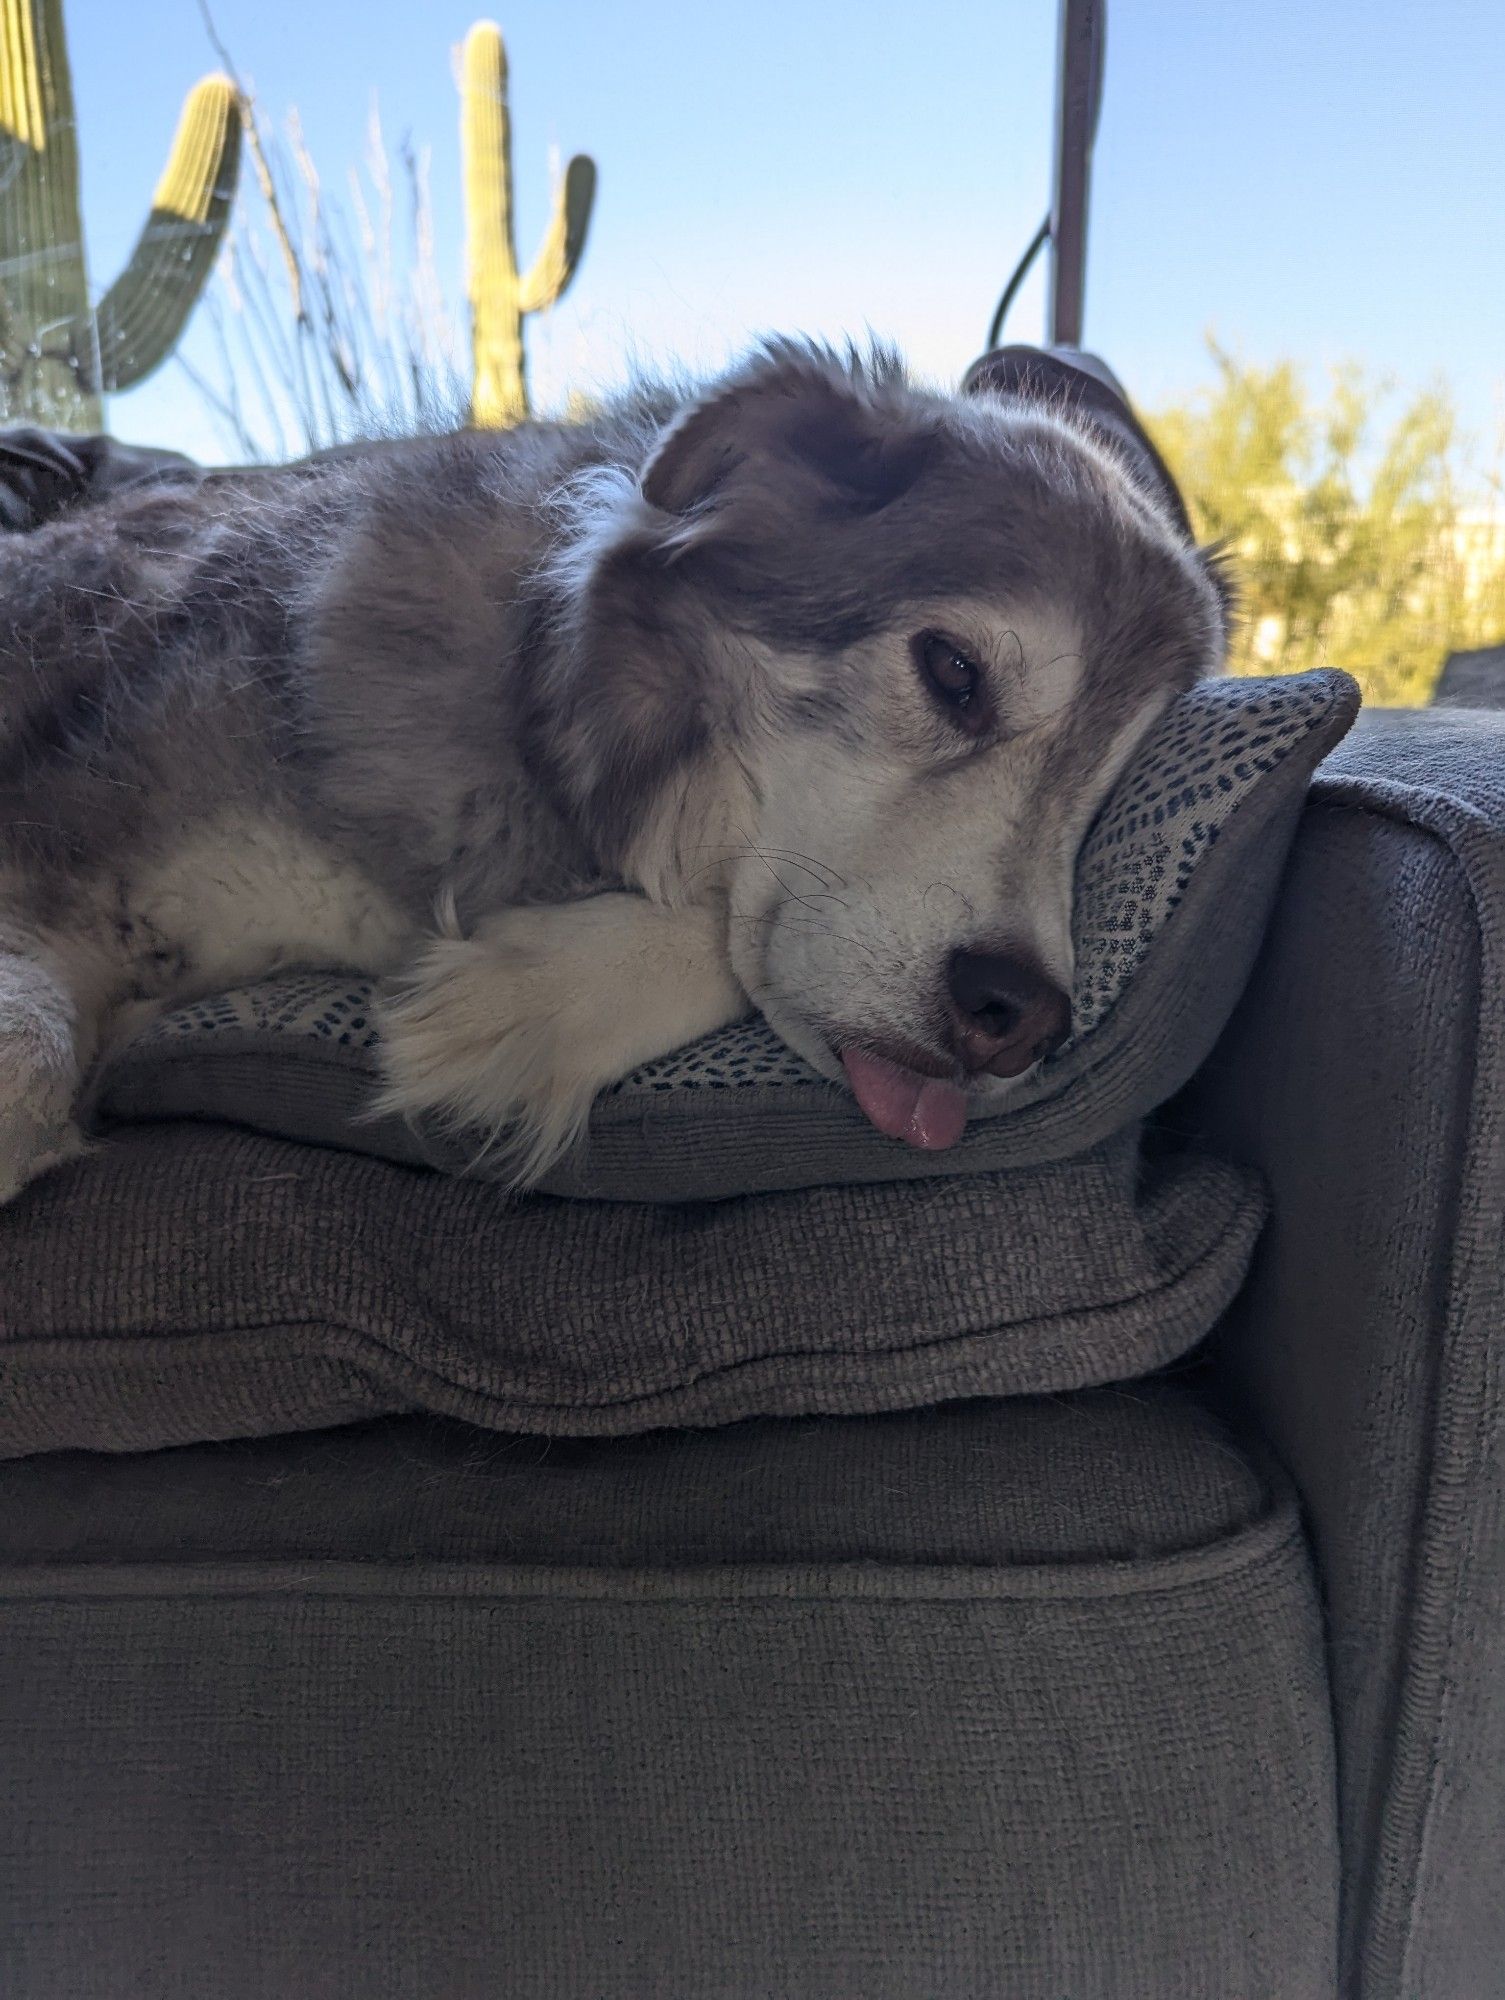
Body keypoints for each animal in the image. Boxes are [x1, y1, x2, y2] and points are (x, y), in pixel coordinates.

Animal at [0, 340, 1224, 1200]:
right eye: (953, 672)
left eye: (1104, 787)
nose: (1020, 1019)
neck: (539, 695)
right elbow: (29, 1053)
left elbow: (719, 935)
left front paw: (516, 1004)